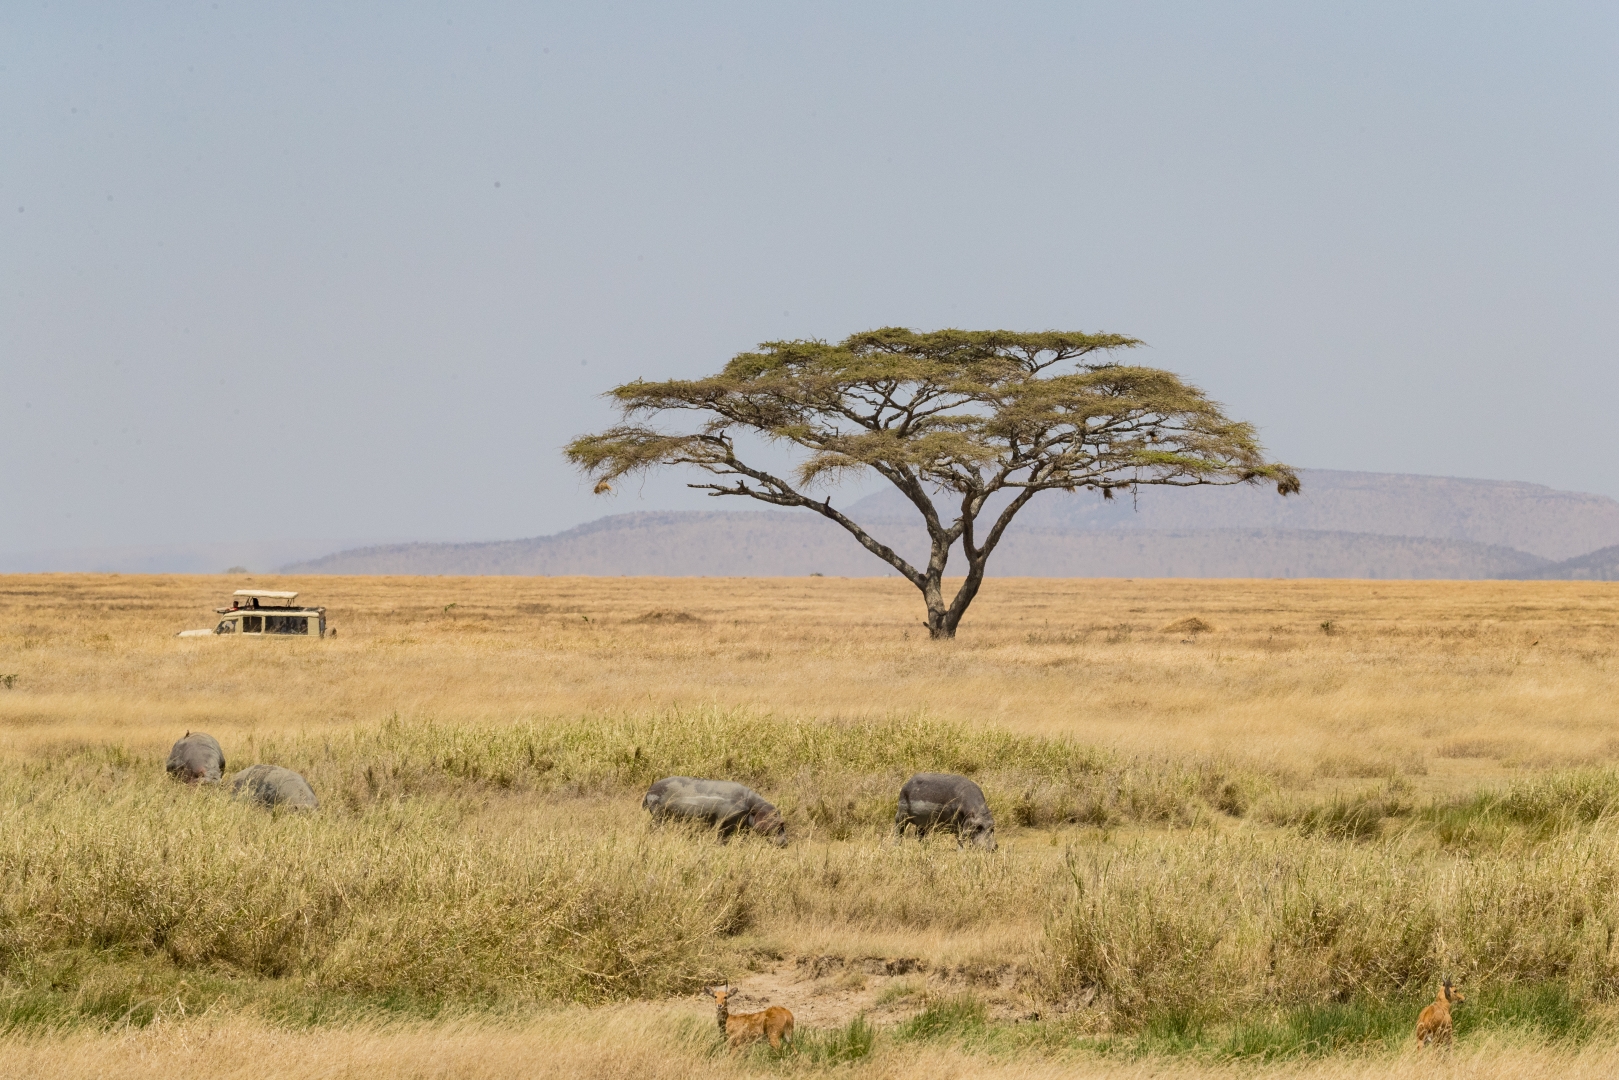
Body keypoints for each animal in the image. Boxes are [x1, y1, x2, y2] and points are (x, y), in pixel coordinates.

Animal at [647, 780, 793, 848]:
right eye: (781, 822)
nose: (785, 843)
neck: (753, 807)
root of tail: (650, 790)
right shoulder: (724, 824)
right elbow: (721, 838)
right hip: (658, 816)